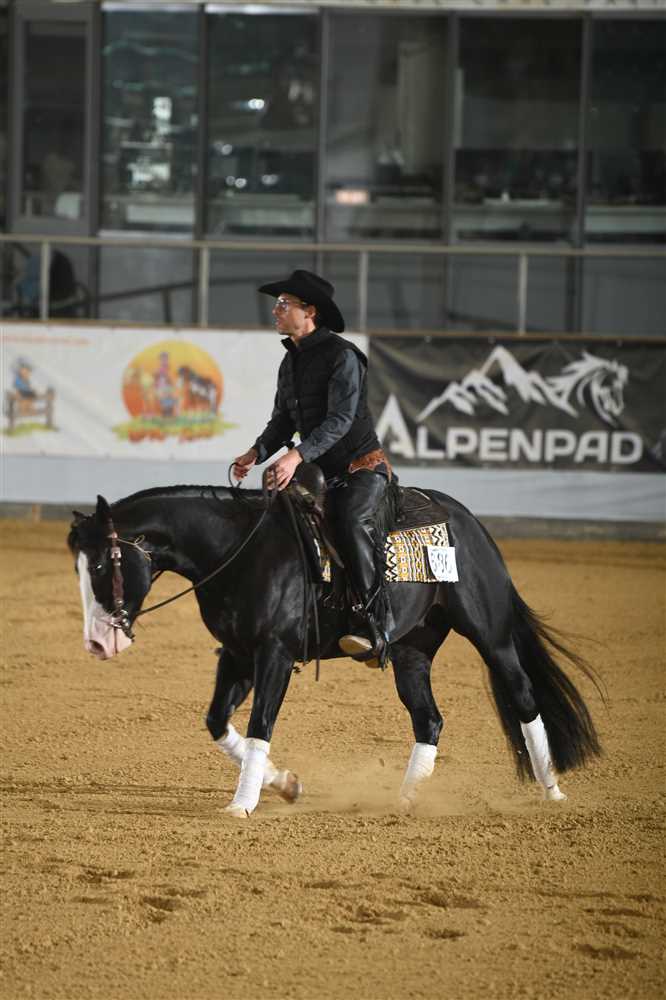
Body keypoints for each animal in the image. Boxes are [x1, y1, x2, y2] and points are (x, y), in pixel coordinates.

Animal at [67, 483, 601, 819]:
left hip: (490, 634)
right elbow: (218, 722)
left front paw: (242, 804)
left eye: (101, 565)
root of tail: (471, 523)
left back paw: (552, 789)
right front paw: (285, 784)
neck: (239, 550)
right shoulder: (236, 654)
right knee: (428, 719)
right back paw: (405, 800)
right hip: (411, 652)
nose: (96, 642)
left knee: (524, 696)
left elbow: (260, 724)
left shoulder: (275, 654)